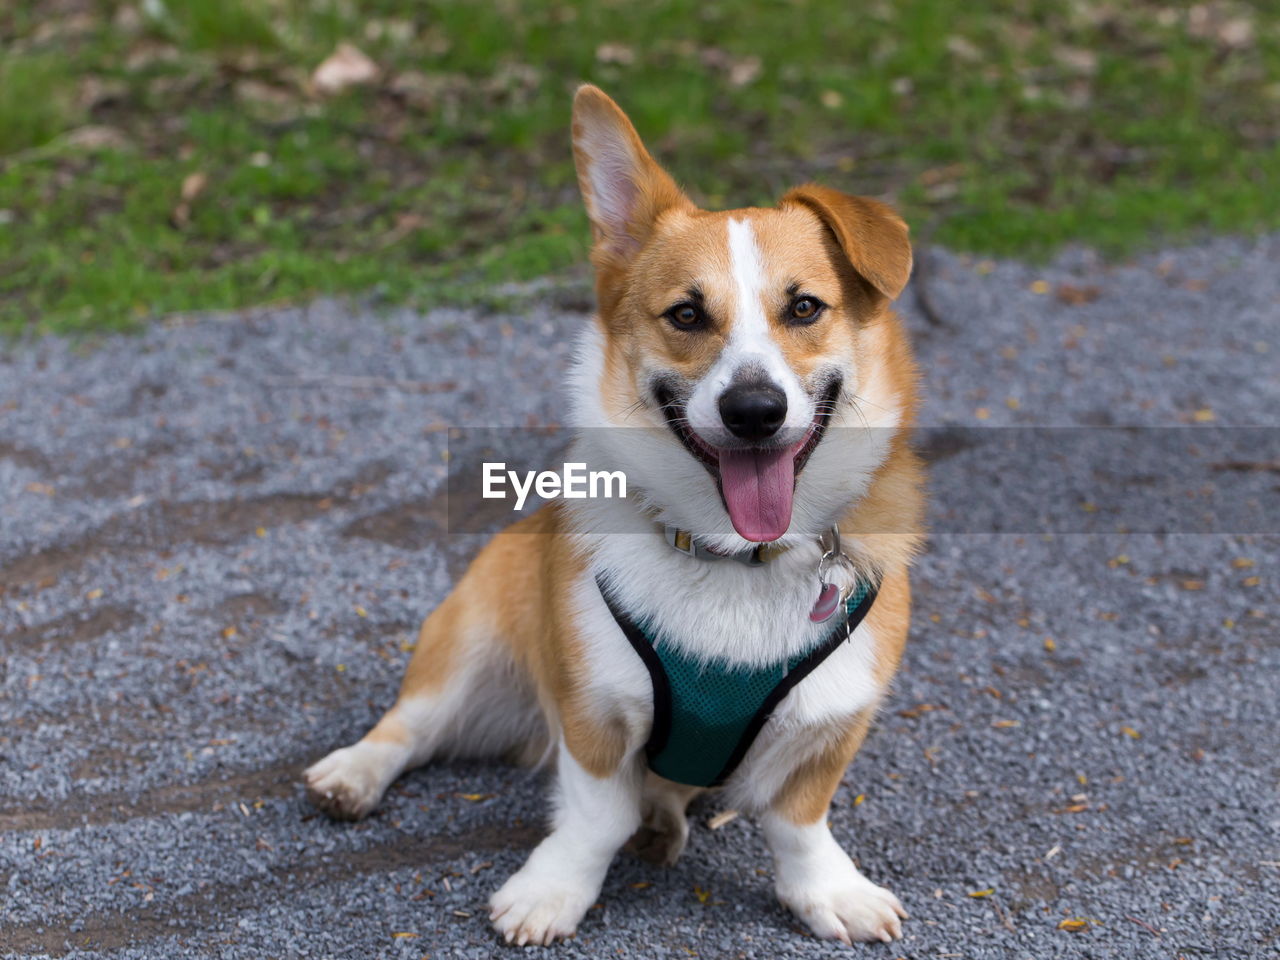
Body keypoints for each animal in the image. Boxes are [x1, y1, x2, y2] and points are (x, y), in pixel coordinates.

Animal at [304, 84, 926, 947]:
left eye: (805, 308)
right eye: (687, 316)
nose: (755, 411)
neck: (731, 553)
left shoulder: (833, 718)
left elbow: (799, 823)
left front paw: (828, 892)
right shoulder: (590, 707)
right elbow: (596, 814)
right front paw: (551, 891)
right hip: (470, 640)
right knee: (412, 725)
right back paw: (354, 772)